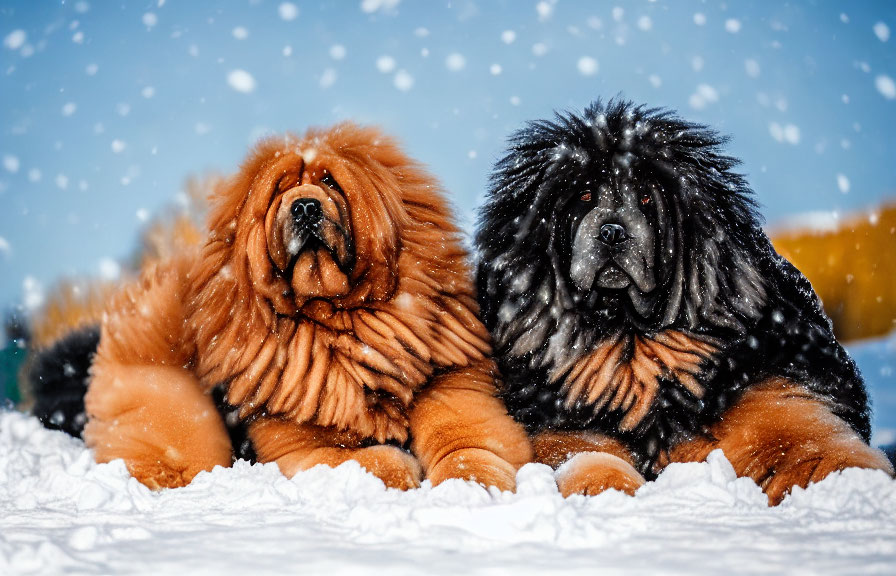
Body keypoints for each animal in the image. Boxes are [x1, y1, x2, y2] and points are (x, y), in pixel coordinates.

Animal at [472, 100, 892, 504]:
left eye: (646, 198)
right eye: (585, 196)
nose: (612, 232)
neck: (632, 335)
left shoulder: (775, 392)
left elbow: (806, 442)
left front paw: (850, 482)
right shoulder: (562, 421)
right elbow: (587, 454)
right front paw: (608, 491)